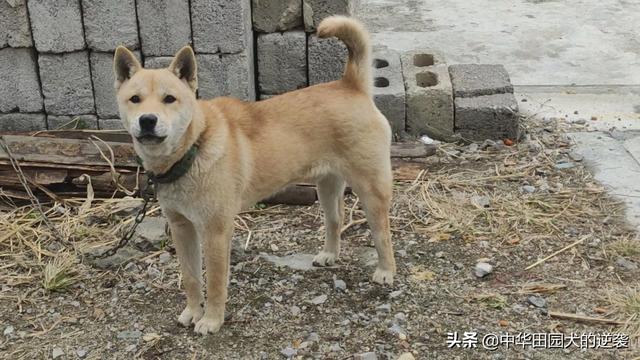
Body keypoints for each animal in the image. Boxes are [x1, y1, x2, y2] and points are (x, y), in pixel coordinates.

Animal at [114, 15, 396, 334]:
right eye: (135, 99)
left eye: (169, 99)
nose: (147, 120)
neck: (194, 148)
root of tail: (351, 85)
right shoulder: (182, 228)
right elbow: (191, 278)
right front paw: (192, 312)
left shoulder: (215, 232)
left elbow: (215, 283)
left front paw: (211, 320)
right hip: (326, 186)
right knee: (335, 219)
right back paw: (330, 255)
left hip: (371, 190)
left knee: (382, 233)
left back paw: (386, 270)